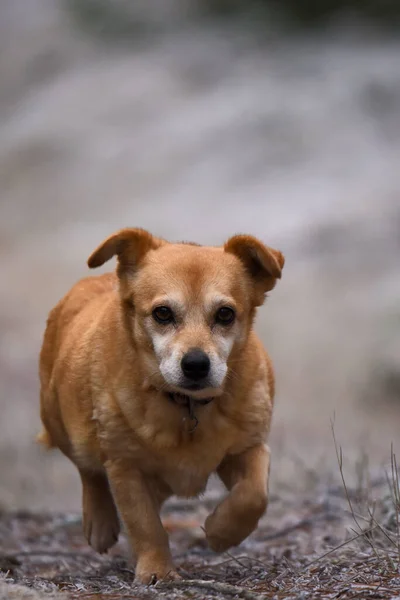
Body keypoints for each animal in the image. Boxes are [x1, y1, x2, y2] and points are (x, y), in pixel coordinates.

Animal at [36, 229, 282, 580]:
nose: (196, 364)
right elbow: (145, 524)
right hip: (60, 422)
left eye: (225, 314)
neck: (187, 406)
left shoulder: (248, 448)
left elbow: (254, 495)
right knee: (88, 470)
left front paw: (221, 532)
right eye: (162, 313)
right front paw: (157, 571)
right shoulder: (126, 467)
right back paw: (100, 522)